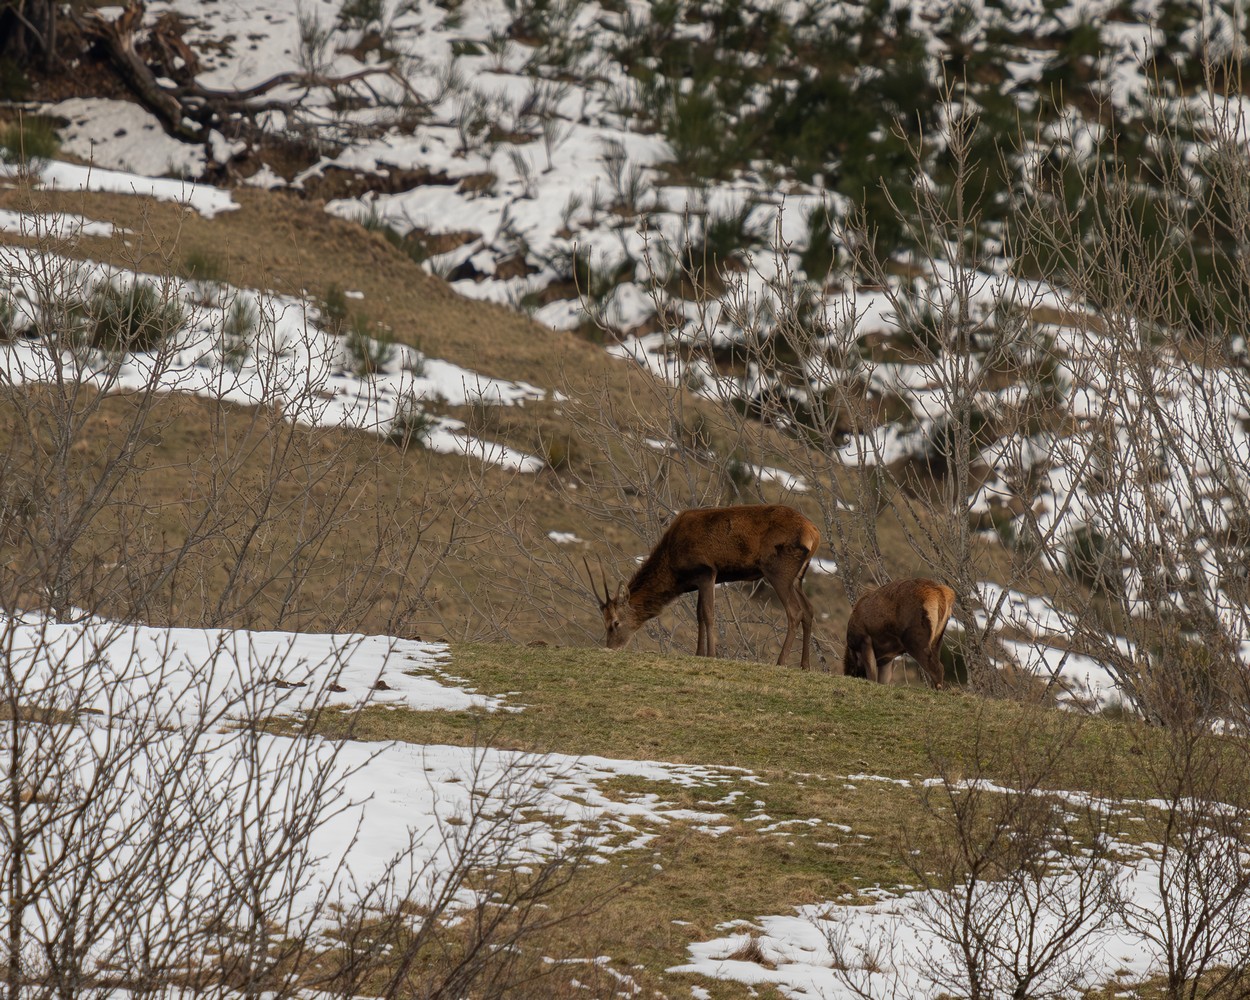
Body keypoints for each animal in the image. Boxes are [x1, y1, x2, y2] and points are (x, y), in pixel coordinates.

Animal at [588, 504, 821, 670]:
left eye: (615, 623)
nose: (610, 648)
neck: (674, 571)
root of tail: (815, 533)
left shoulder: (706, 571)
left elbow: (708, 614)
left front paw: (711, 654)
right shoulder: (697, 580)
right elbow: (699, 614)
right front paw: (699, 652)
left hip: (778, 569)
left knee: (795, 611)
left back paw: (781, 662)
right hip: (797, 577)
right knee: (809, 610)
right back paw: (805, 665)